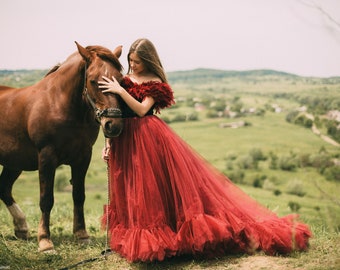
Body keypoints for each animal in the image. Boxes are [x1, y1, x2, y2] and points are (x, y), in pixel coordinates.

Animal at [0, 41, 123, 252]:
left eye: (121, 80)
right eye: (92, 81)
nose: (112, 125)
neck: (59, 103)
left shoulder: (83, 156)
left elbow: (79, 195)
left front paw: (81, 235)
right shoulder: (46, 157)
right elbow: (46, 199)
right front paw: (44, 241)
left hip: (14, 163)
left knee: (4, 188)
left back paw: (22, 227)